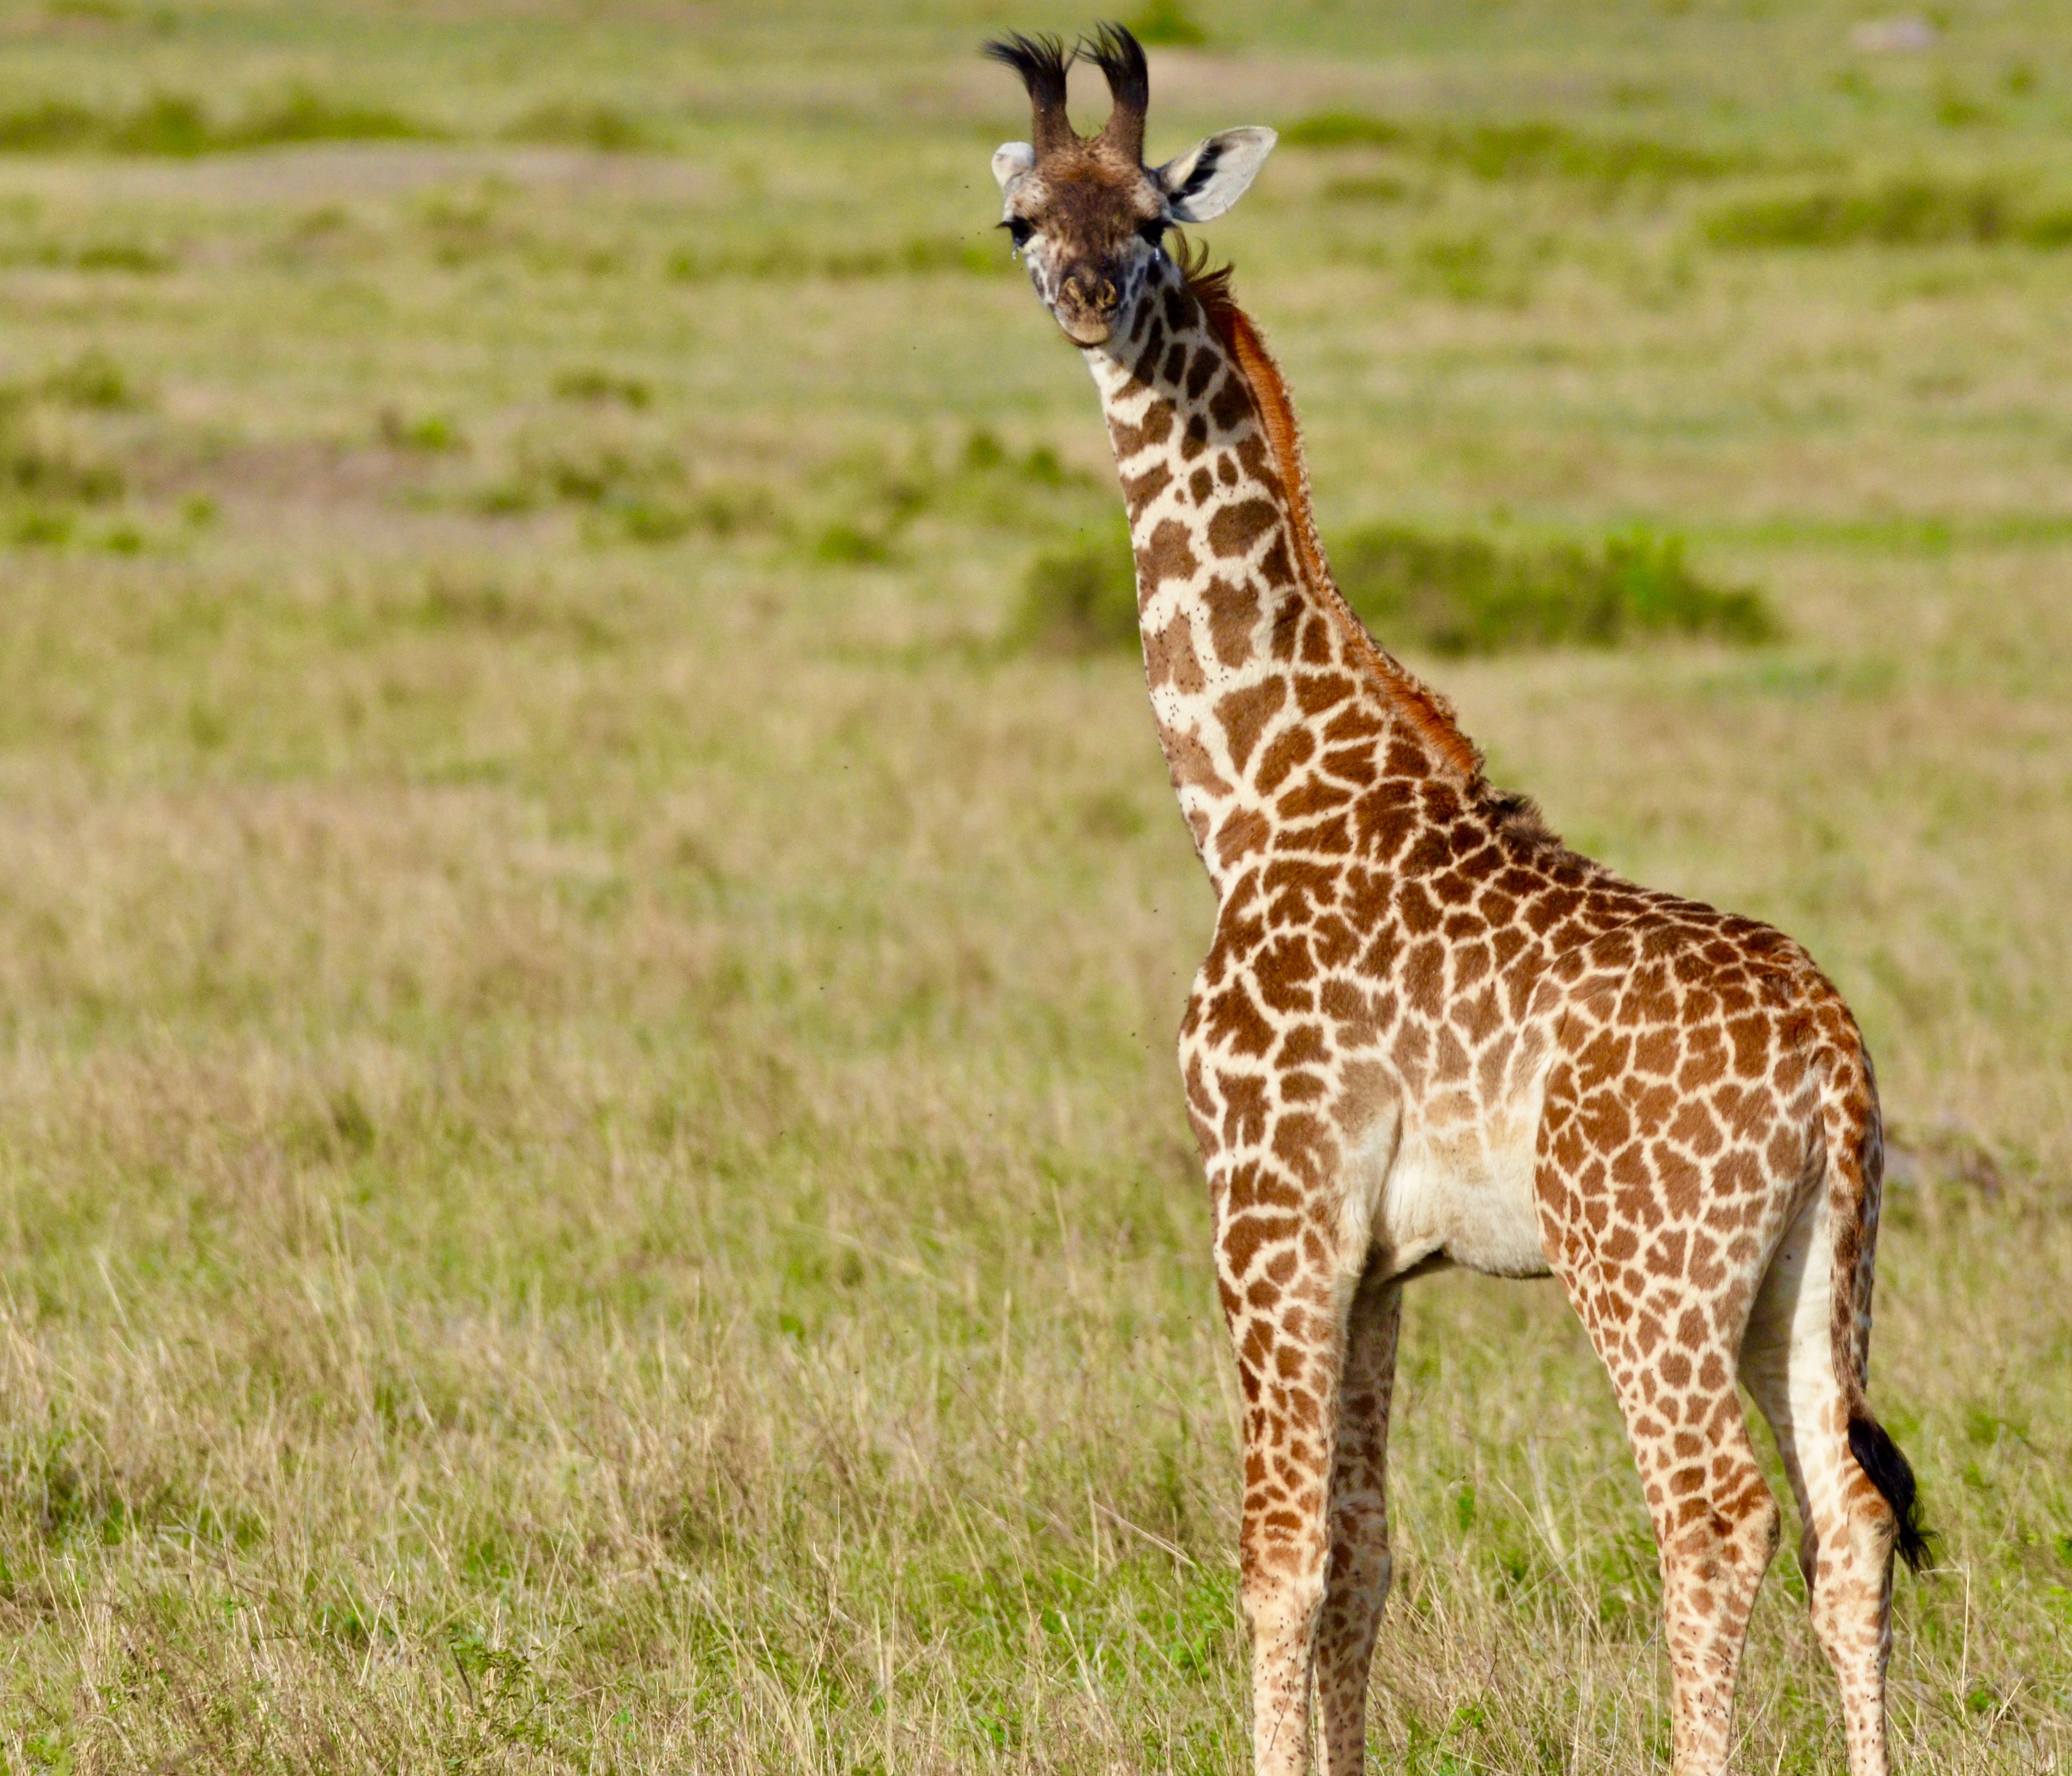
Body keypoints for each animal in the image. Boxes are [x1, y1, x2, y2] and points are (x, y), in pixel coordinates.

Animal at [986, 24, 1923, 1774]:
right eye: (1025, 220)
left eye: (1146, 219)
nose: (1082, 298)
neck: (1255, 796)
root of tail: (1834, 1057)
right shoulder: (1371, 1258)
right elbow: (1361, 1560)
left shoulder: (1265, 1198)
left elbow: (1276, 1560)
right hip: (1814, 1272)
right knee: (1847, 1516)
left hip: (1644, 1267)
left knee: (1714, 1512)